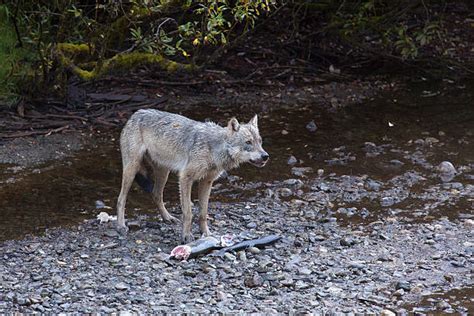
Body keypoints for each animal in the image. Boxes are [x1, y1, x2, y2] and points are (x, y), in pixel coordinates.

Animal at [116, 108, 268, 242]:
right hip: (132, 169)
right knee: (121, 199)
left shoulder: (207, 182)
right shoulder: (185, 178)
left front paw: (206, 234)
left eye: (260, 141)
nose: (265, 156)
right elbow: (188, 213)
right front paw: (186, 236)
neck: (214, 148)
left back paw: (167, 218)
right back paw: (121, 226)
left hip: (163, 173)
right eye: (248, 142)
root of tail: (136, 113)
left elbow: (203, 213)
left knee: (156, 194)